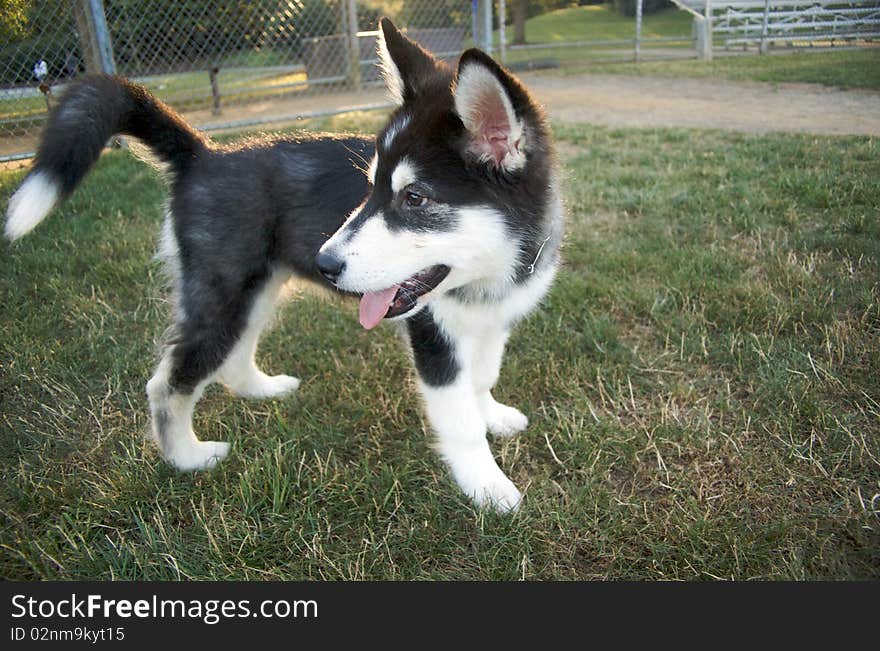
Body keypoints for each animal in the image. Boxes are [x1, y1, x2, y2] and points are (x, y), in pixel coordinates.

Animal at [3, 19, 560, 516]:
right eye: (371, 187)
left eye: (414, 198)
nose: (325, 262)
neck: (488, 271)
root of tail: (204, 154)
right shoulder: (433, 336)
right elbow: (458, 417)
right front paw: (487, 486)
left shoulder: (492, 321)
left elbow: (482, 377)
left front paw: (492, 415)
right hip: (223, 295)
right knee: (168, 382)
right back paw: (187, 457)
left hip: (255, 291)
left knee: (233, 355)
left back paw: (260, 390)